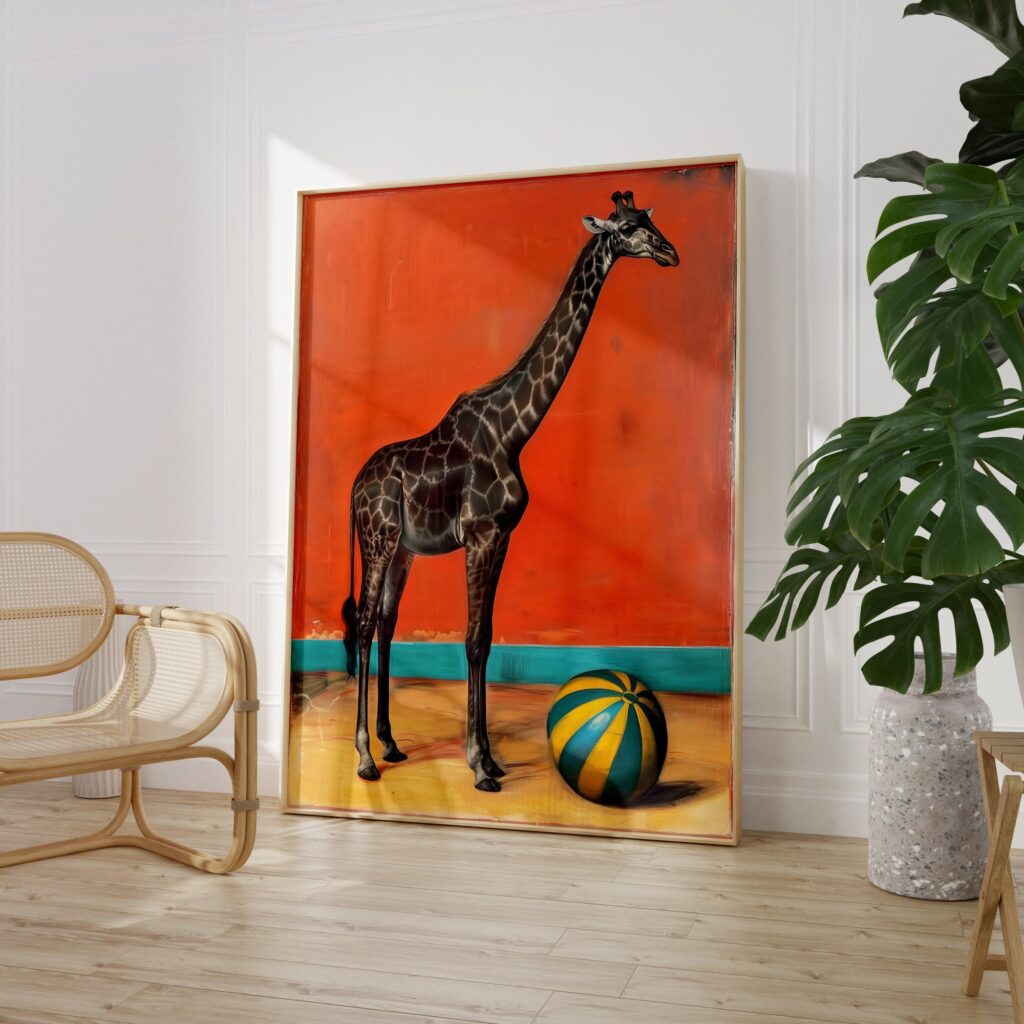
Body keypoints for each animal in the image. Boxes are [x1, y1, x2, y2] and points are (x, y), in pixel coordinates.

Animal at [341, 190, 679, 791]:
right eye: (627, 229)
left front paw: (490, 758)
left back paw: (391, 744)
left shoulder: (502, 536)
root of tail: (356, 484)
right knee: (361, 623)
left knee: (384, 623)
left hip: (403, 548)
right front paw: (480, 765)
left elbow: (489, 636)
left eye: (649, 221)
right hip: (377, 538)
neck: (514, 429)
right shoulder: (481, 534)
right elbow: (473, 639)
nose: (670, 252)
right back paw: (364, 757)